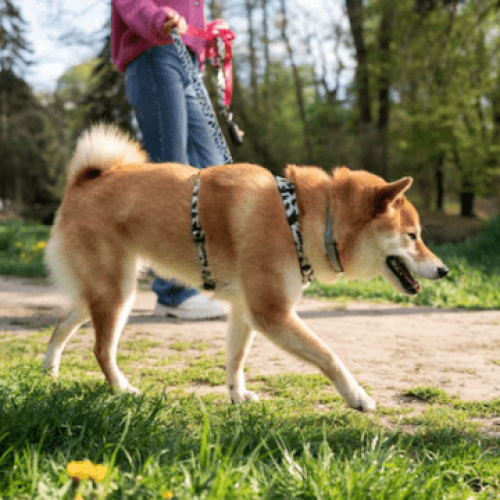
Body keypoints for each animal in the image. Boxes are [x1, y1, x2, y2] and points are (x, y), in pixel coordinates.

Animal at [43, 124, 450, 410]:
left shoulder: (244, 310)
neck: (303, 219)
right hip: (117, 292)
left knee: (61, 323)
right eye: (413, 236)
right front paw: (358, 396)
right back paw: (122, 389)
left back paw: (49, 371)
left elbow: (235, 359)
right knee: (101, 349)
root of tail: (83, 182)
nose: (444, 270)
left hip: (106, 291)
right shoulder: (272, 313)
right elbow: (328, 354)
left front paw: (237, 396)